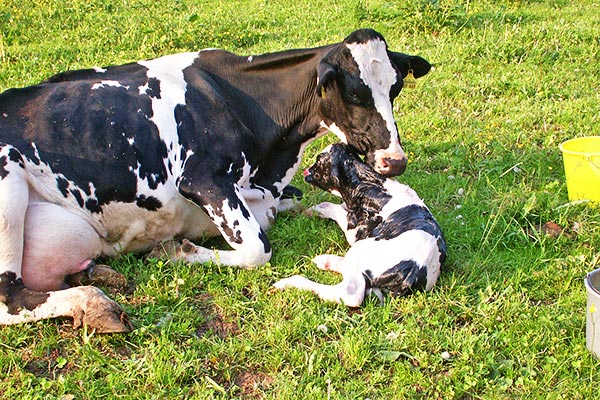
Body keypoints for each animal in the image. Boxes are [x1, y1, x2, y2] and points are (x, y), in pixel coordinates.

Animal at [274, 144, 448, 306]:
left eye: (319, 160)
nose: (308, 169)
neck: (371, 184)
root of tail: (415, 272)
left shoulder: (356, 230)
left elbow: (332, 207)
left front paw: (311, 210)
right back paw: (326, 261)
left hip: (362, 249)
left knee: (351, 294)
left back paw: (289, 282)